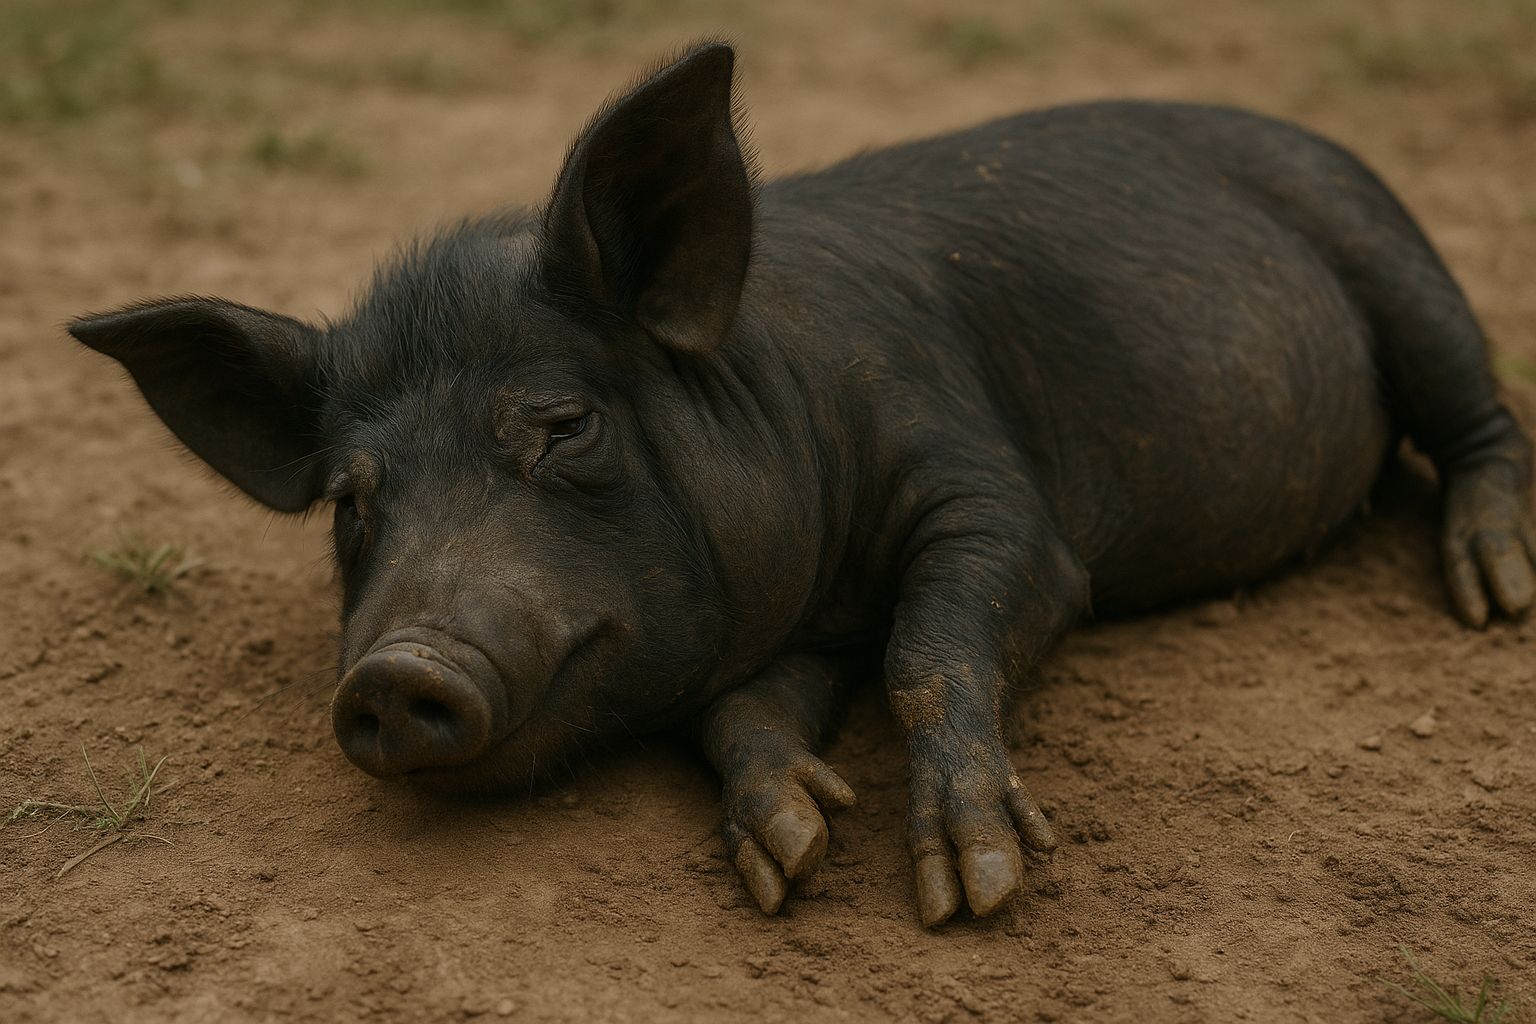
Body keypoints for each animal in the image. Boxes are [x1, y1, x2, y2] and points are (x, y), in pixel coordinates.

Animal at [68, 43, 1535, 926]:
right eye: (352, 502)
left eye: (561, 426)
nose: (392, 671)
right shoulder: (790, 622)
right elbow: (748, 709)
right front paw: (795, 847)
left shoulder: (986, 480)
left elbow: (935, 642)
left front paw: (975, 889)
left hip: (1393, 253)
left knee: (1475, 413)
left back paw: (1494, 593)